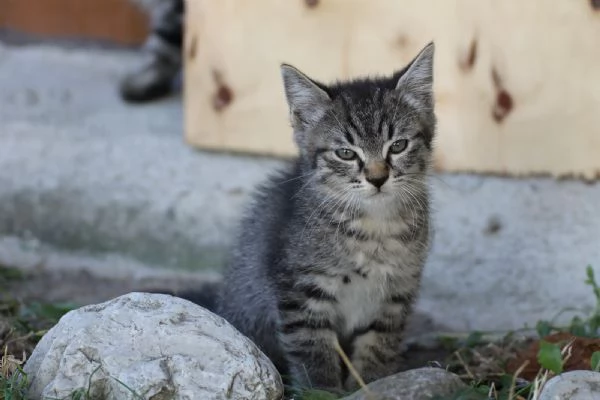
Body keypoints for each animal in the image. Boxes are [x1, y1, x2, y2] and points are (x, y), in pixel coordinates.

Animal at [216, 42, 436, 392]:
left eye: (398, 145)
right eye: (345, 153)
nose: (377, 178)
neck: (374, 227)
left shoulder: (397, 291)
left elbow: (379, 344)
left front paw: (370, 385)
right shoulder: (301, 291)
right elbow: (313, 349)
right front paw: (325, 390)